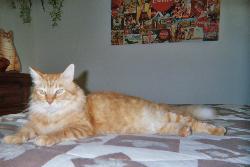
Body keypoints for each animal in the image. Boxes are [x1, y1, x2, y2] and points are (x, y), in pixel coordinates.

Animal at [2, 64, 227, 146]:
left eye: (59, 92)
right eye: (42, 92)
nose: (49, 101)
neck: (51, 116)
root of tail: (158, 104)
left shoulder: (82, 128)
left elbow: (59, 132)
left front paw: (44, 139)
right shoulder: (33, 124)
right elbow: (24, 130)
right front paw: (12, 138)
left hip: (170, 117)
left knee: (195, 122)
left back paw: (218, 130)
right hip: (161, 126)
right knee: (182, 127)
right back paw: (184, 132)